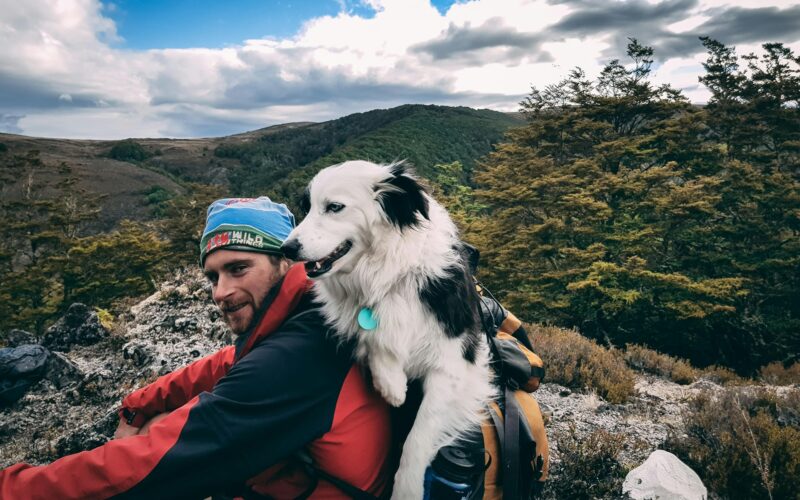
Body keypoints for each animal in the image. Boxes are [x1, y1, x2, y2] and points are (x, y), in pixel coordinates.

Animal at [282, 162, 494, 498]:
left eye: (335, 207)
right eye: (307, 207)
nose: (286, 248)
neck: (387, 275)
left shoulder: (457, 362)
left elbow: (418, 437)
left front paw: (406, 489)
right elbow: (373, 336)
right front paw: (391, 384)